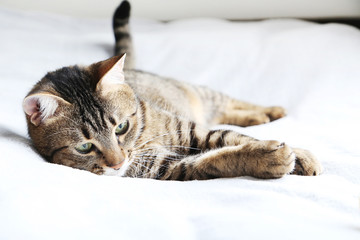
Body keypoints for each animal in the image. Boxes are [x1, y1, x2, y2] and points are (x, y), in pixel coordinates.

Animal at [21, 0, 324, 180]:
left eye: (121, 127)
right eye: (84, 147)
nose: (117, 164)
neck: (143, 137)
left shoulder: (193, 131)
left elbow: (234, 137)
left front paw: (300, 155)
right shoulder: (165, 167)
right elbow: (216, 159)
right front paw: (269, 158)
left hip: (202, 94)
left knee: (229, 104)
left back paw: (270, 111)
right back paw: (260, 117)